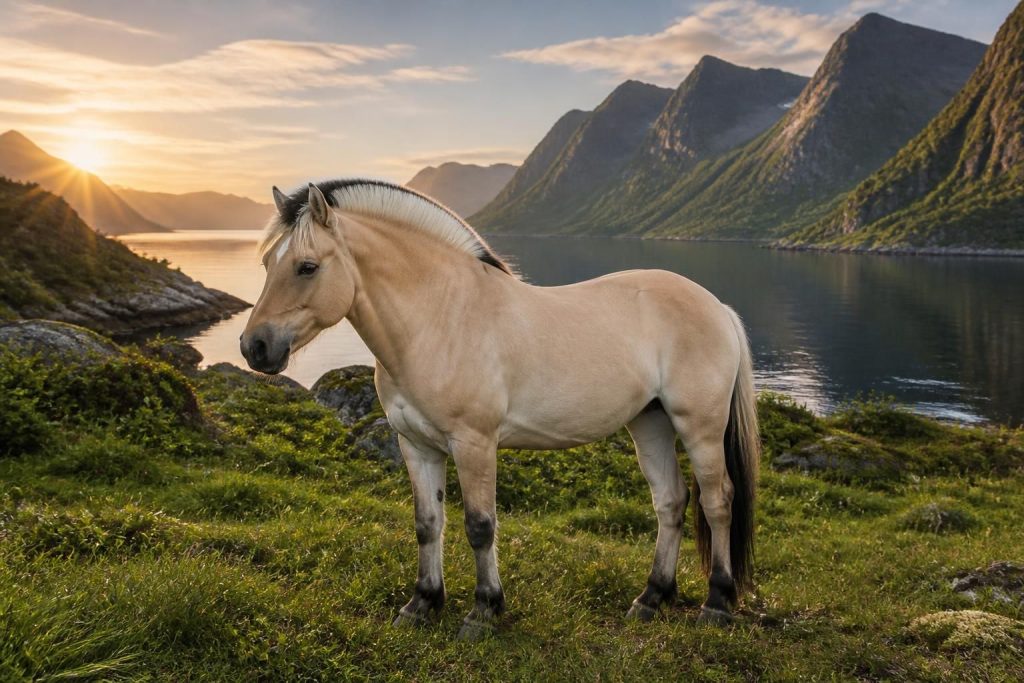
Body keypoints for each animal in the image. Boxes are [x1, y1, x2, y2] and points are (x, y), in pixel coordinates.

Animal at [240, 179, 760, 640]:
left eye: (307, 266)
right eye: (267, 261)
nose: (254, 347)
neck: (440, 317)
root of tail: (717, 306)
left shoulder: (474, 443)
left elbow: (479, 526)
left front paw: (483, 612)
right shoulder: (417, 445)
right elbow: (427, 524)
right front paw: (421, 604)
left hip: (700, 427)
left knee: (717, 501)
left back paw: (716, 604)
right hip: (649, 422)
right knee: (671, 502)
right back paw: (651, 598)